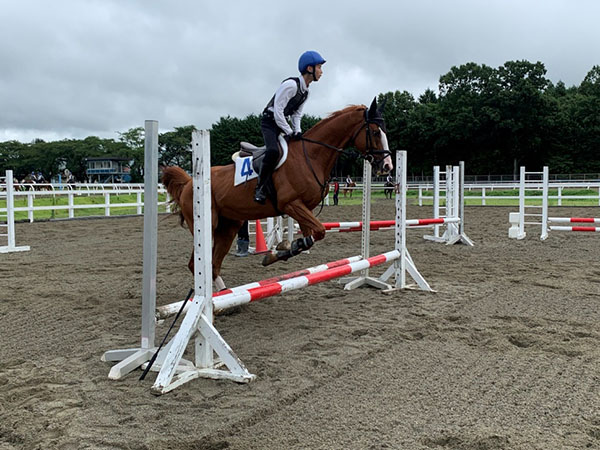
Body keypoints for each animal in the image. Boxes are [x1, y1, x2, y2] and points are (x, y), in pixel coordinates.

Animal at [162, 98, 393, 291]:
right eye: (374, 132)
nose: (387, 166)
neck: (311, 156)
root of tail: (190, 182)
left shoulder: (305, 208)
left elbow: (311, 236)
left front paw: (279, 251)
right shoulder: (291, 204)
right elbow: (318, 231)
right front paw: (280, 249)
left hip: (228, 227)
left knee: (213, 264)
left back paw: (225, 297)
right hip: (208, 225)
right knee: (197, 264)